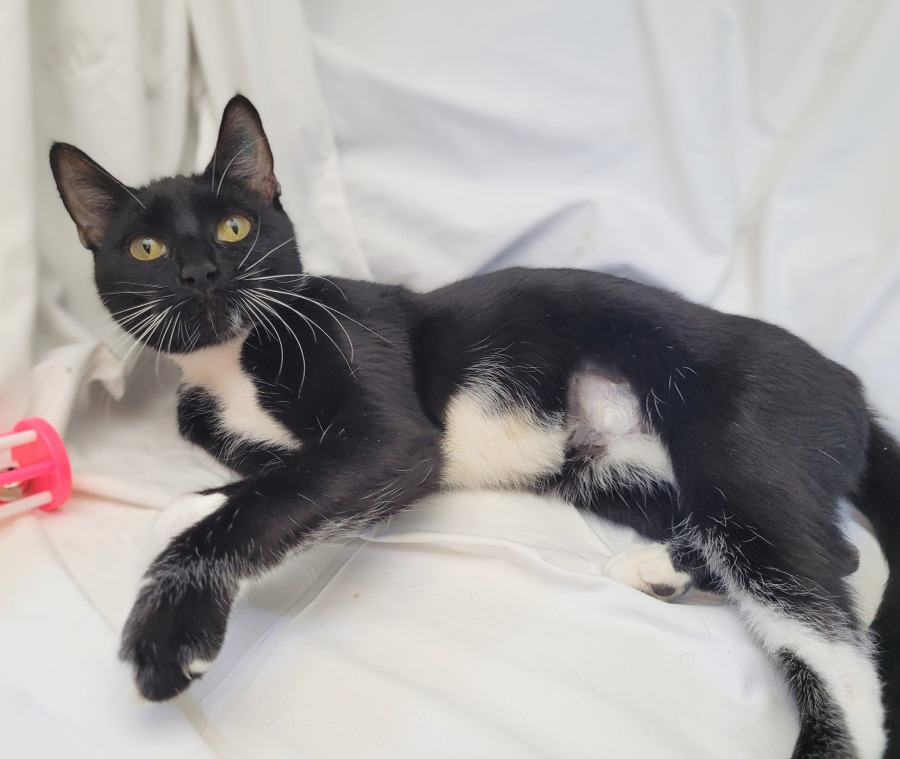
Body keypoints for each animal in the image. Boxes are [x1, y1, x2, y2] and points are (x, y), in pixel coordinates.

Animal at [50, 95, 900, 759]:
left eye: (233, 227)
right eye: (146, 248)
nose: (200, 273)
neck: (231, 360)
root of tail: (852, 388)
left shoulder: (385, 422)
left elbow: (285, 492)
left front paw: (169, 624)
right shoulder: (215, 417)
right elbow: (276, 481)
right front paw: (187, 501)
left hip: (740, 432)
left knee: (818, 610)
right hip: (611, 466)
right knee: (839, 553)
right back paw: (658, 567)